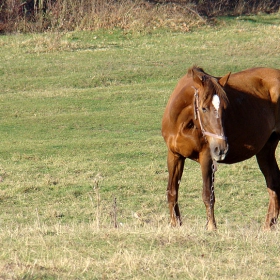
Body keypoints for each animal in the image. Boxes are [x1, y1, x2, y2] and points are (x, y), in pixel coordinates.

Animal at [161, 65, 280, 230]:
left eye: (225, 108)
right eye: (203, 108)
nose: (221, 149)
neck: (182, 124)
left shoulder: (206, 157)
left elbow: (208, 194)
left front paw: (211, 227)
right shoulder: (174, 155)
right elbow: (172, 191)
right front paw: (175, 224)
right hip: (265, 150)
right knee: (273, 181)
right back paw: (268, 225)